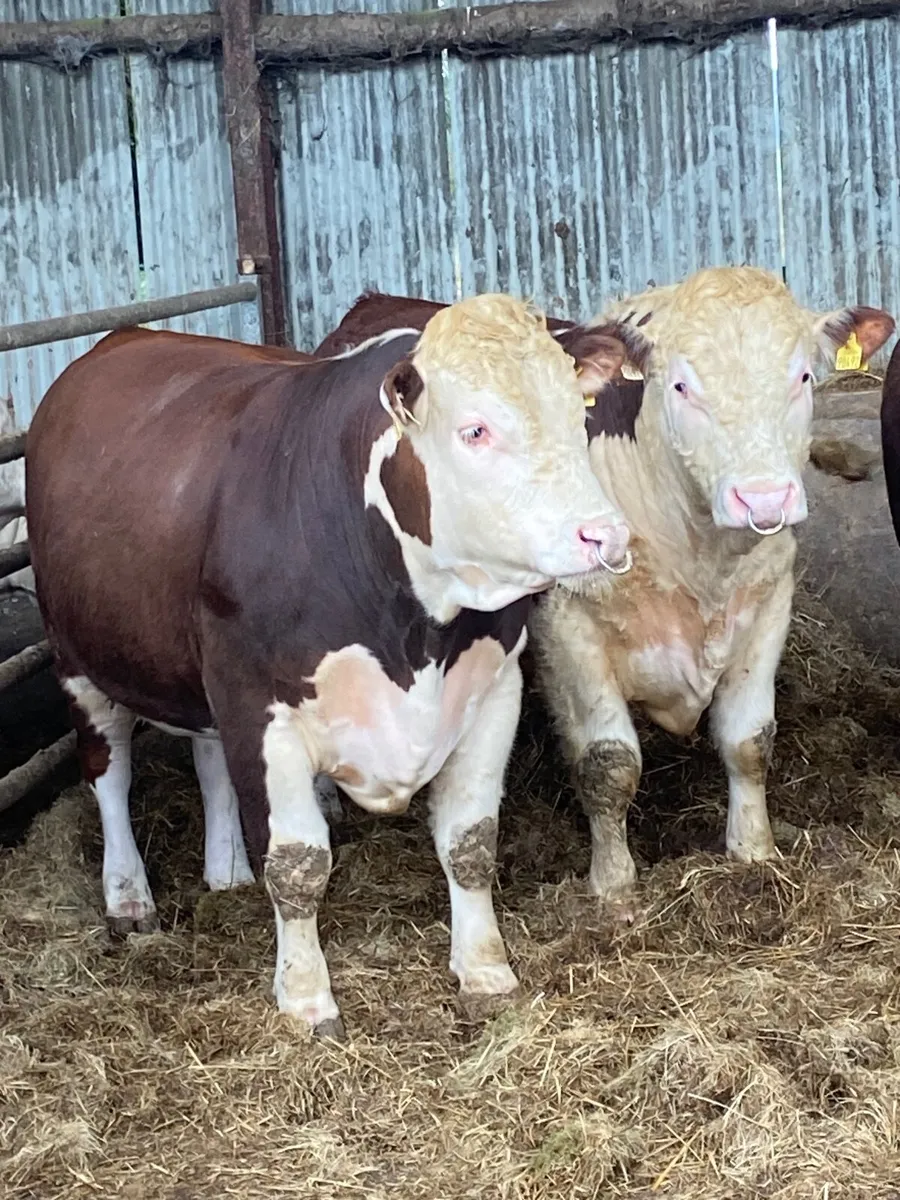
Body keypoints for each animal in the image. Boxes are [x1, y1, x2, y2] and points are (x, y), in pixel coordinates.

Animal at [26, 295, 632, 1037]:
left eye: (577, 415)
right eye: (475, 430)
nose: (606, 535)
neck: (414, 628)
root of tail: (123, 339)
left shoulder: (494, 689)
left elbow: (470, 841)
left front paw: (486, 970)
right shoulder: (261, 704)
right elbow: (296, 865)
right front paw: (306, 1000)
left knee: (209, 758)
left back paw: (226, 871)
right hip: (78, 656)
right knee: (108, 768)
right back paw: (129, 896)